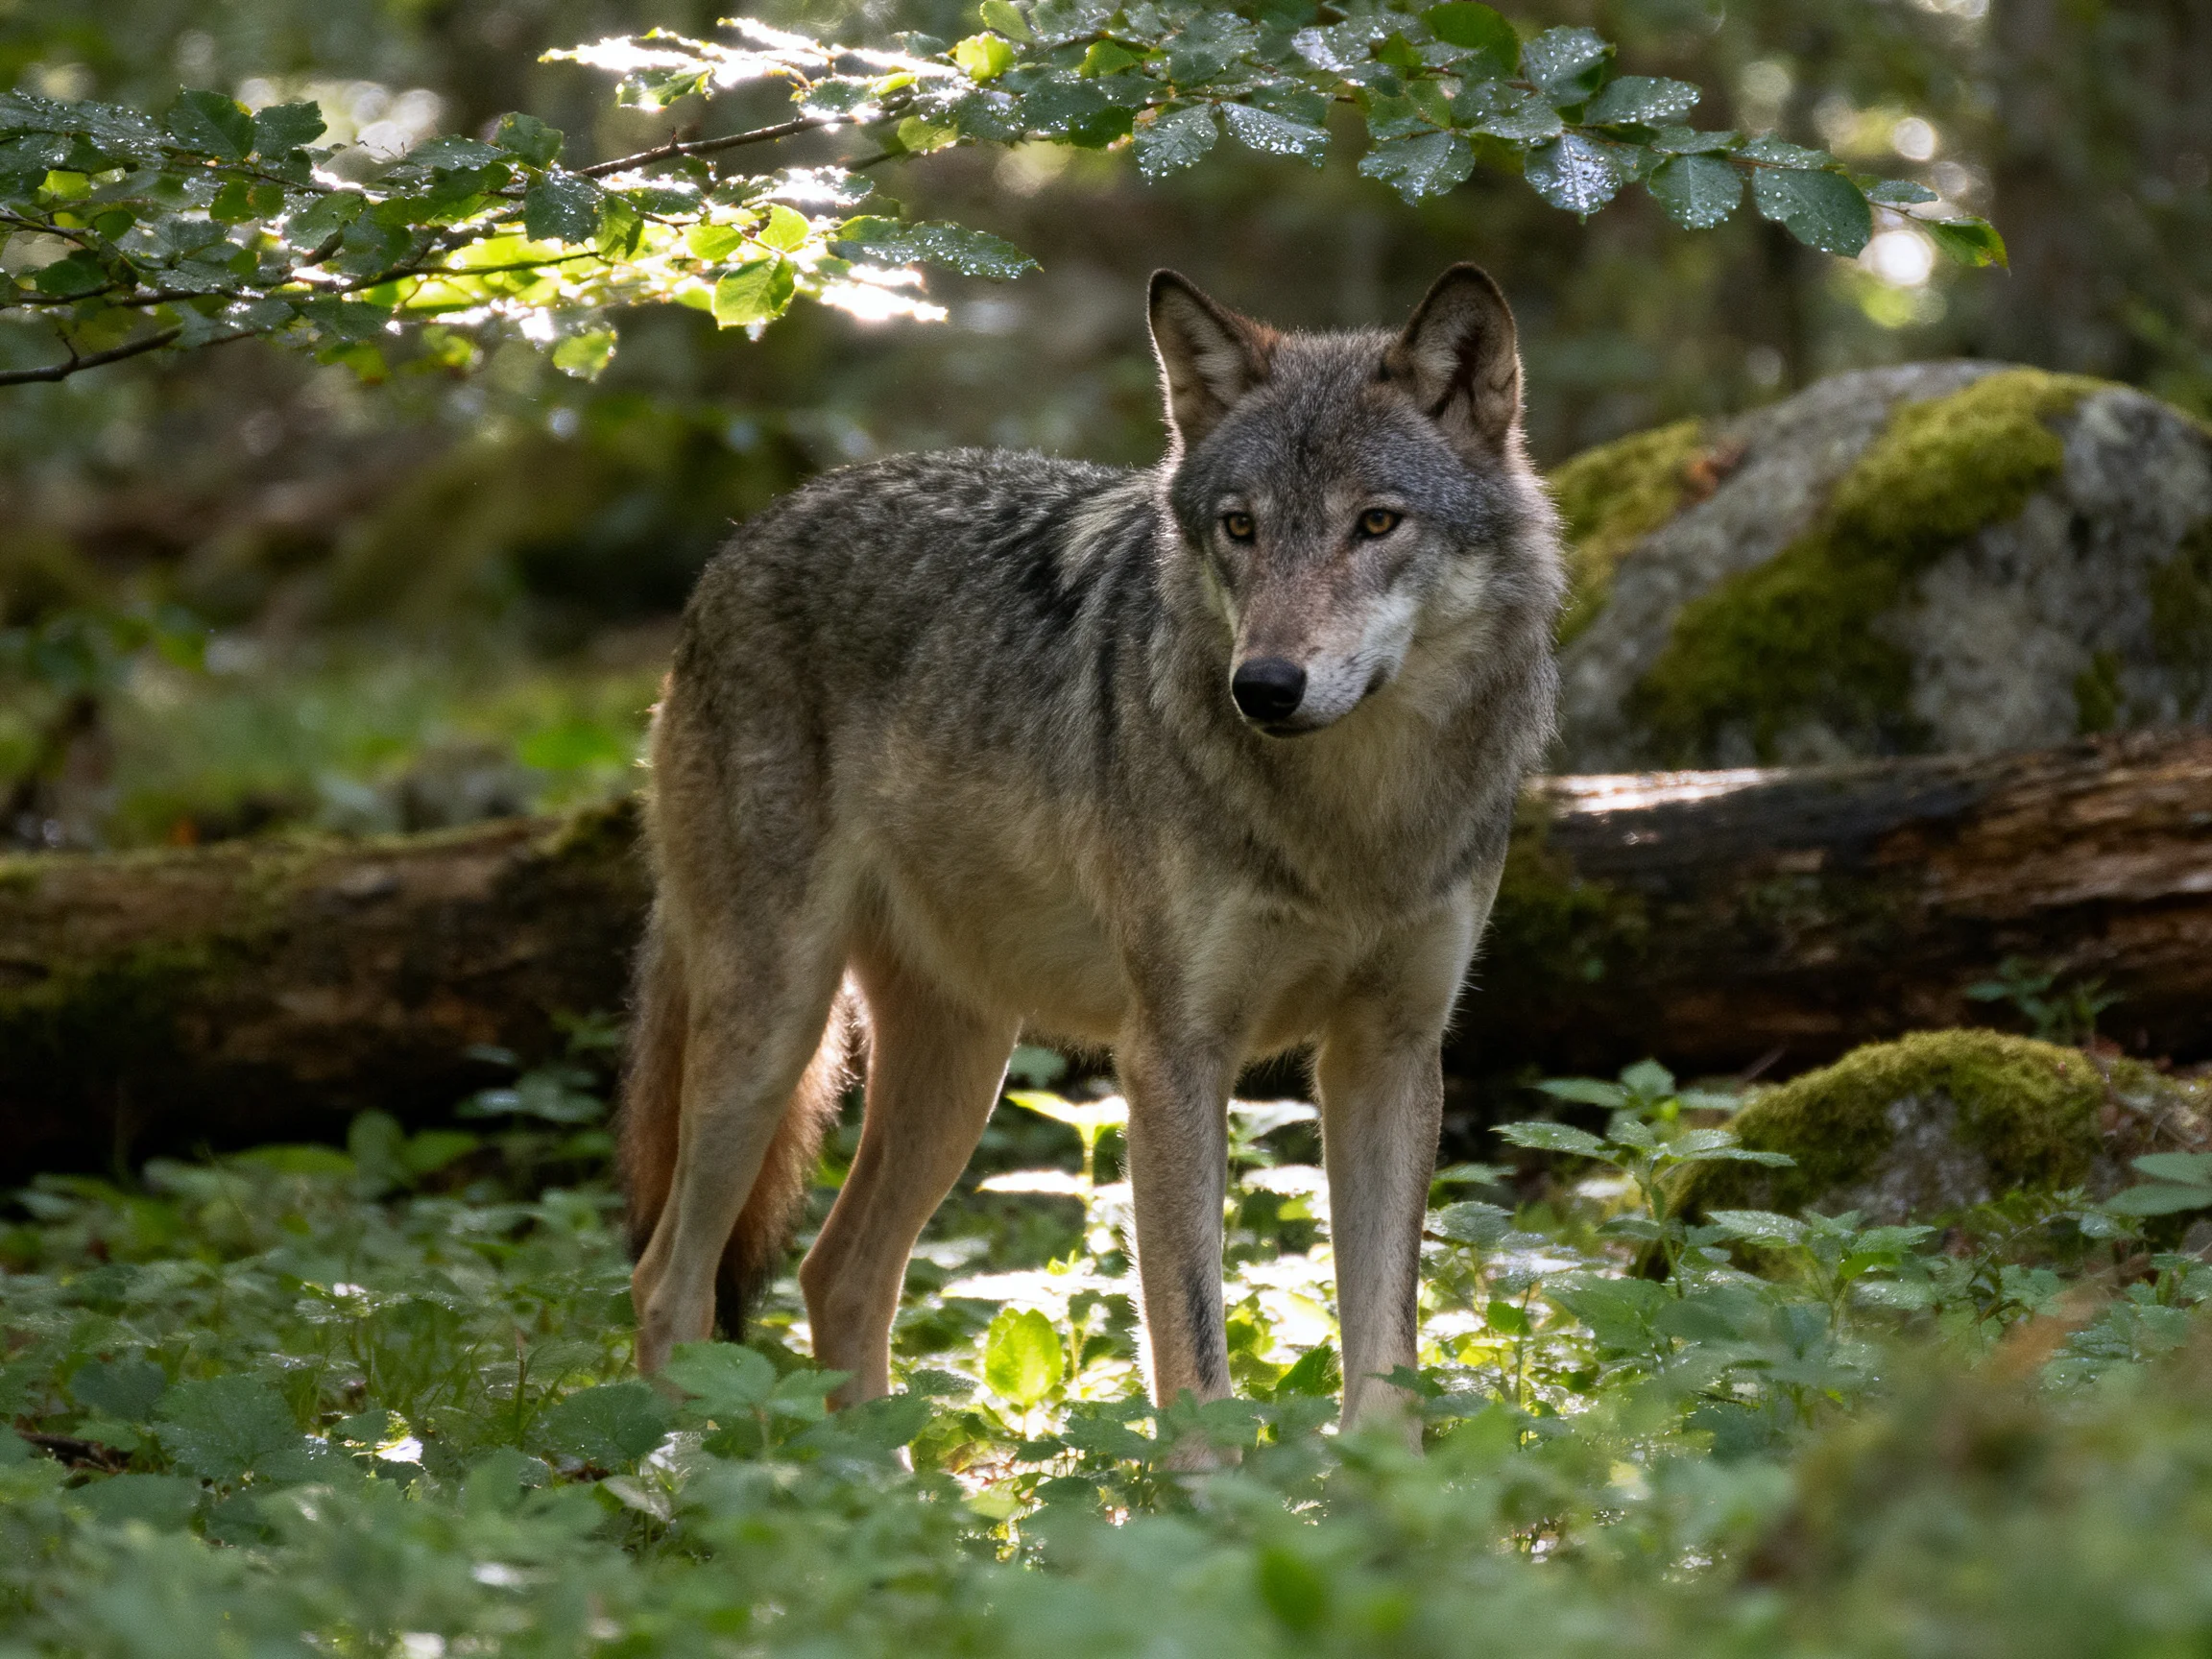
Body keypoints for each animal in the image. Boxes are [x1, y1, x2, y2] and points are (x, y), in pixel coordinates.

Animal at [620, 263, 1564, 1435]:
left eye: (1377, 522)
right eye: (1240, 528)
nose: (1265, 688)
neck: (1355, 820)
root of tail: (742, 541)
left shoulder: (1389, 1056)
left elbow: (1386, 1358)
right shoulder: (1171, 1056)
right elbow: (1193, 1357)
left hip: (959, 1070)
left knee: (836, 1274)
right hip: (774, 1032)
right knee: (668, 1283)